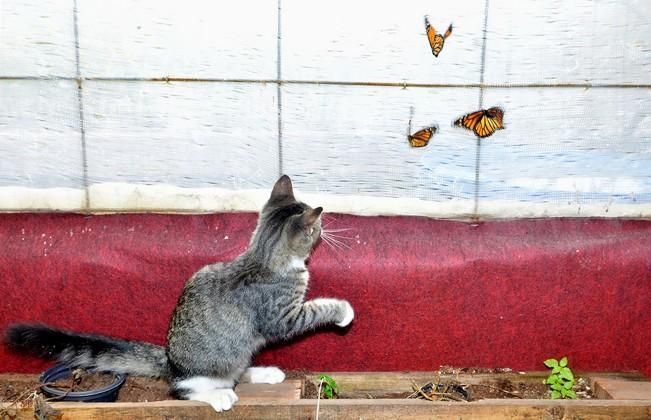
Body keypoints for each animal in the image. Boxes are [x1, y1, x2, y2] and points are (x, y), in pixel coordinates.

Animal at [3, 176, 356, 412]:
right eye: (316, 227)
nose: (325, 229)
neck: (263, 257)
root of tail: (171, 362)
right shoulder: (282, 315)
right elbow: (317, 308)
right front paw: (343, 311)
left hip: (239, 351)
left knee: (238, 371)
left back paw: (262, 372)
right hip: (208, 366)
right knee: (184, 388)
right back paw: (218, 394)